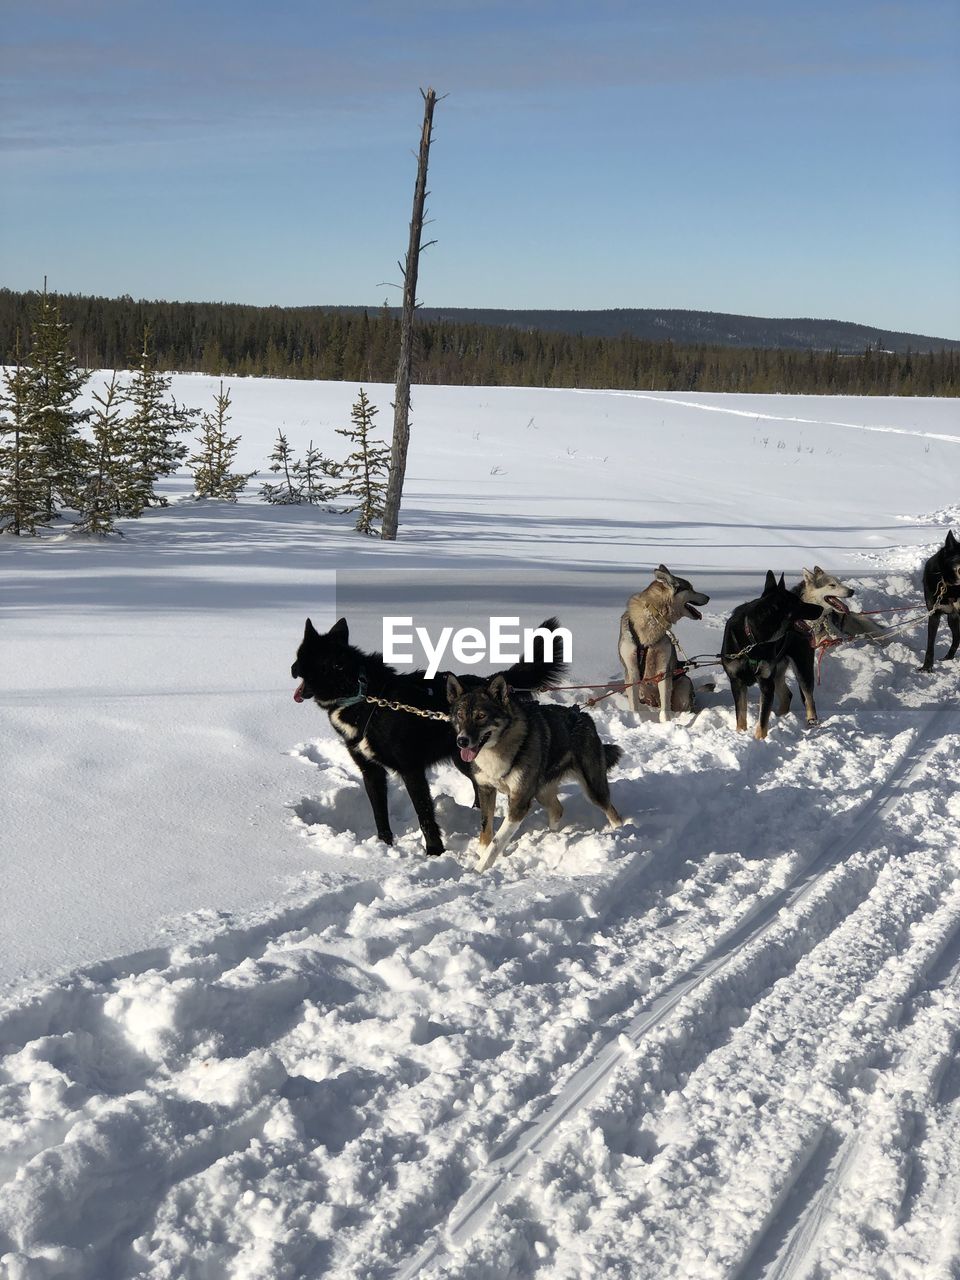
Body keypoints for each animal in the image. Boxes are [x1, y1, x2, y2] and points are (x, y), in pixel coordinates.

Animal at [289, 614, 568, 855]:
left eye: (305, 658)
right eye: (299, 654)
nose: (291, 668)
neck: (364, 697)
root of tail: (486, 683)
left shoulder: (411, 769)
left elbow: (424, 813)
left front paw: (434, 851)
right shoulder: (371, 772)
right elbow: (380, 813)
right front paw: (384, 846)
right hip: (463, 756)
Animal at [619, 568, 711, 721]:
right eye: (690, 588)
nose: (709, 597)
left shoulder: (663, 671)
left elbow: (665, 706)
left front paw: (666, 722)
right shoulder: (631, 671)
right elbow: (634, 704)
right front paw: (636, 719)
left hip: (683, 684)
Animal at [727, 573, 824, 742]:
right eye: (798, 603)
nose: (821, 608)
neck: (754, 640)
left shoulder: (765, 682)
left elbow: (763, 719)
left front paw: (760, 740)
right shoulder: (736, 682)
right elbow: (741, 715)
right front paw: (740, 734)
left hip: (802, 669)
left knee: (809, 699)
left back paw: (811, 722)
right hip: (777, 672)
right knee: (787, 695)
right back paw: (780, 718)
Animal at [921, 527, 960, 670]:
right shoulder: (934, 614)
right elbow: (930, 645)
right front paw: (926, 668)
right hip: (952, 619)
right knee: (957, 638)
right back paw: (948, 657)